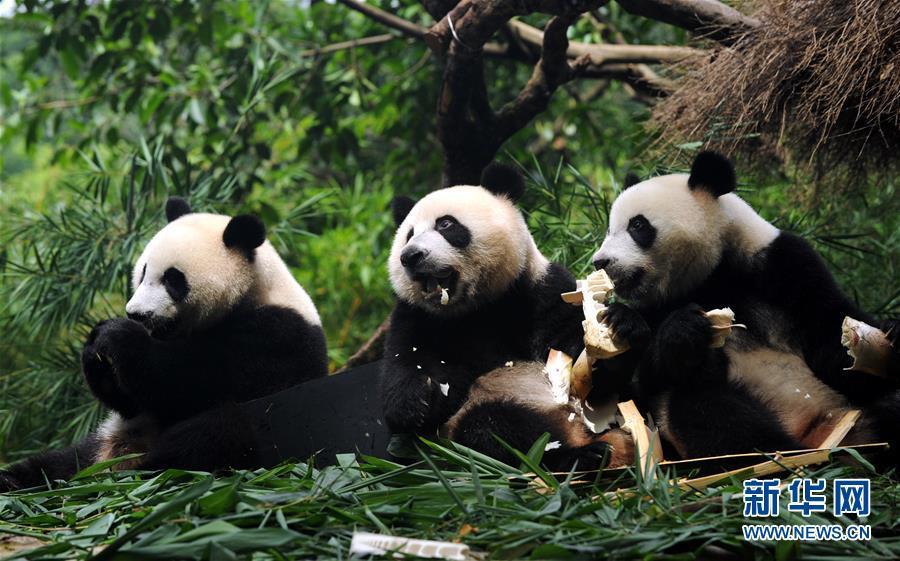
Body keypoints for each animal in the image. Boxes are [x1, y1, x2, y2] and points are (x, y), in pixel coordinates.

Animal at [0, 198, 327, 491]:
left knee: (216, 432)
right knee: (60, 461)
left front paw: (119, 335)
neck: (254, 290)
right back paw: (18, 480)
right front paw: (96, 348)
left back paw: (142, 471)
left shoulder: (274, 337)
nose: (136, 314)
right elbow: (133, 402)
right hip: (101, 440)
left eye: (172, 279)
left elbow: (188, 385)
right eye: (143, 272)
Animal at [381, 164, 632, 470]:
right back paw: (583, 454)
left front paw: (607, 337)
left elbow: (568, 347)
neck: (475, 309)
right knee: (493, 430)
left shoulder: (541, 290)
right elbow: (404, 363)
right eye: (408, 234)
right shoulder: (415, 316)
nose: (410, 256)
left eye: (446, 225)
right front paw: (417, 402)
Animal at [591, 151, 900, 459]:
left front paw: (889, 333)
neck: (712, 276)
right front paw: (648, 325)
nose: (600, 261)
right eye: (609, 229)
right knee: (703, 407)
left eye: (637, 225)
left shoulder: (783, 265)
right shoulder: (658, 307)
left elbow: (832, 343)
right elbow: (636, 387)